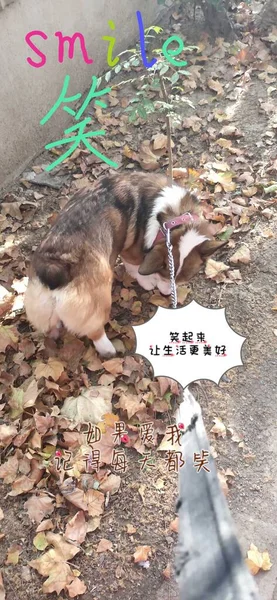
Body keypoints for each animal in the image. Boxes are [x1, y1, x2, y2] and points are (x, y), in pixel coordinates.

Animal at [24, 171, 226, 356]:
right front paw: (147, 282)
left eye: (184, 278)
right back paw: (108, 349)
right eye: (163, 272)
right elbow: (135, 267)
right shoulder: (131, 251)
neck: (177, 218)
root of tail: (54, 267)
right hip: (99, 299)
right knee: (95, 330)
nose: (168, 293)